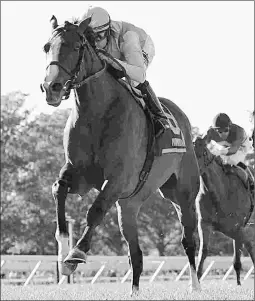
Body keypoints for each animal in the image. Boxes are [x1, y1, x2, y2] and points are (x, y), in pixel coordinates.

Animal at [41, 15, 201, 292]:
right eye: (46, 47)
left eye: (76, 46)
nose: (52, 86)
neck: (96, 115)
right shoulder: (79, 175)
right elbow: (58, 189)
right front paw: (62, 245)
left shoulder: (117, 180)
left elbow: (95, 211)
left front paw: (76, 254)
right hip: (128, 206)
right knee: (135, 254)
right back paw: (135, 292)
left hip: (181, 194)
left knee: (188, 240)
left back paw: (195, 286)